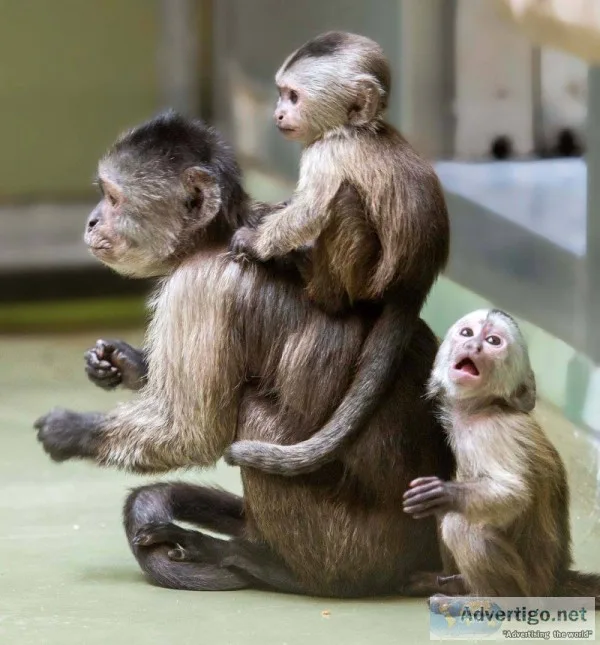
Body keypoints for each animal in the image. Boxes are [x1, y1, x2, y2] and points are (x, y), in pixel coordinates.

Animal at [34, 111, 455, 597]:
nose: (91, 220)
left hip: (354, 552)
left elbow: (190, 433)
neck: (214, 238)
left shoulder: (198, 286)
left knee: (254, 421)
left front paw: (70, 431)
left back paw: (275, 567)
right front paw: (119, 364)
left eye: (113, 198)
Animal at [224, 31, 449, 476]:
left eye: (293, 96)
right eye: (281, 94)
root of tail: (415, 281)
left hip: (364, 281)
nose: (277, 113)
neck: (349, 129)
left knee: (342, 201)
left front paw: (254, 243)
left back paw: (315, 285)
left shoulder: (325, 153)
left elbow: (311, 210)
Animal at [401, 308, 600, 605]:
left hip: (529, 589)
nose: (474, 346)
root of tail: (556, 582)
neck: (483, 408)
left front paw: (444, 492)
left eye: (493, 341)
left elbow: (513, 494)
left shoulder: (493, 433)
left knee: (457, 523)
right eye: (467, 333)